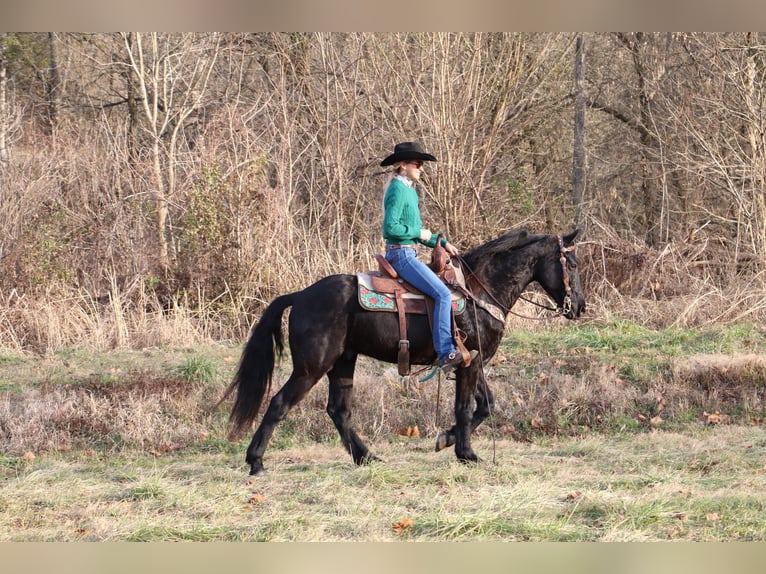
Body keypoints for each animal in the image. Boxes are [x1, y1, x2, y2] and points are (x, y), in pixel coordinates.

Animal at [222, 230, 588, 476]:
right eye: (570, 262)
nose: (580, 307)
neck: (480, 291)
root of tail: (300, 295)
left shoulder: (474, 361)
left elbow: (486, 405)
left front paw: (446, 440)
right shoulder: (467, 365)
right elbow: (465, 409)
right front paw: (466, 453)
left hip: (343, 362)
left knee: (338, 411)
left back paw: (365, 457)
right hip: (312, 367)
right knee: (279, 404)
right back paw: (256, 461)